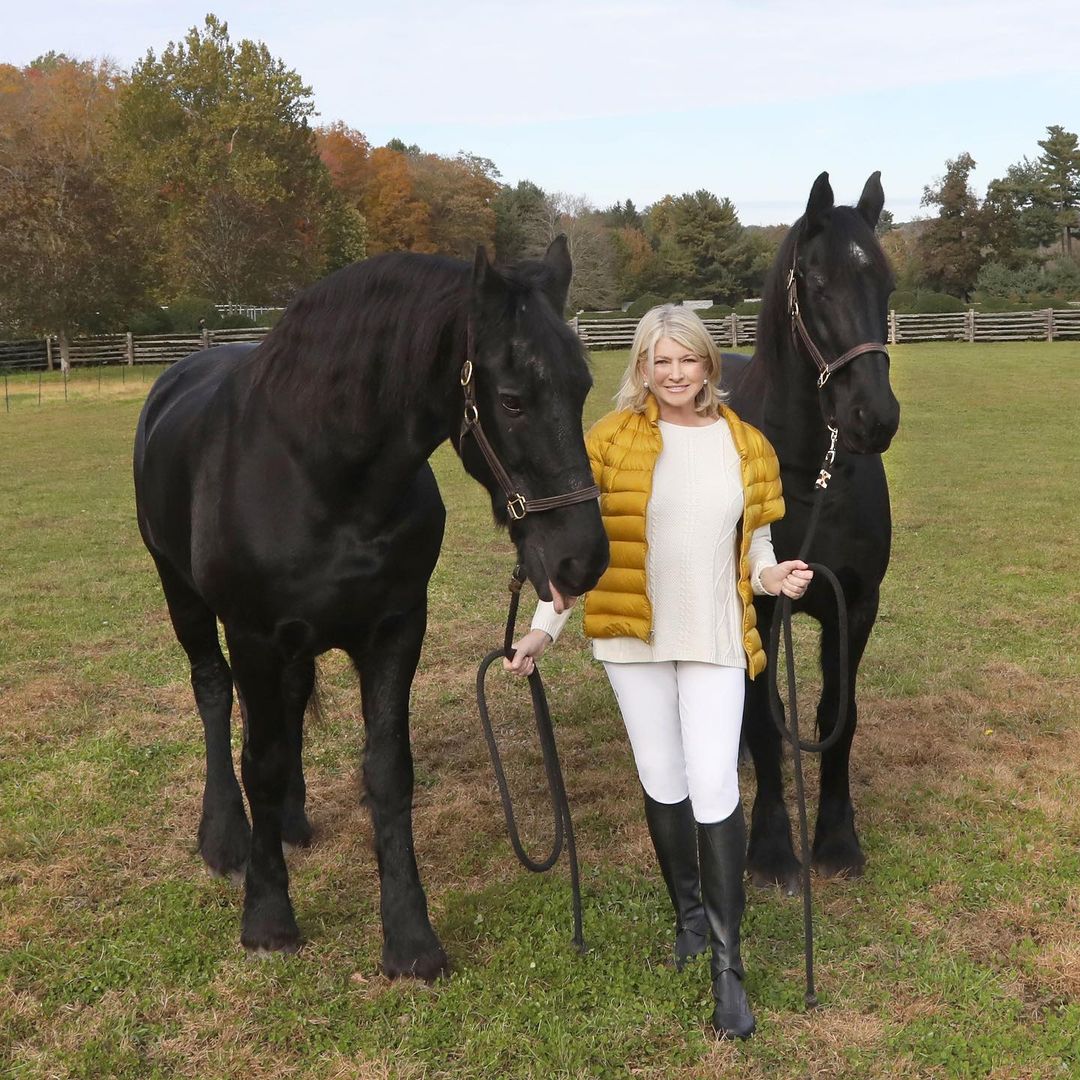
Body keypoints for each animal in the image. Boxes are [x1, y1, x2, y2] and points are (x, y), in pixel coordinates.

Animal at [133, 238, 609, 977]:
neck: (317, 473)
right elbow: (260, 764)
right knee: (213, 694)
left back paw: (291, 823)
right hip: (181, 593)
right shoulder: (252, 634)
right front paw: (268, 918)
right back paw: (225, 837)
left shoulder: (396, 628)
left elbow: (387, 772)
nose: (580, 559)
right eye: (511, 400)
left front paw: (410, 939)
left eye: (582, 387)